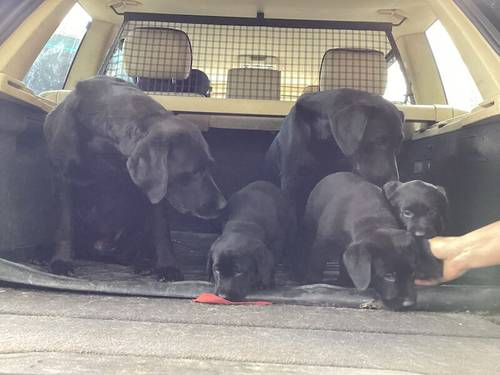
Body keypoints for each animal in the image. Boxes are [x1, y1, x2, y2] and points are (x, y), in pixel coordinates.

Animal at [43, 76, 227, 280]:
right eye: (194, 171)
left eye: (209, 165)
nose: (223, 205)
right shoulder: (62, 179)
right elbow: (64, 227)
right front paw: (61, 261)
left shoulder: (154, 192)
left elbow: (162, 231)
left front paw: (168, 266)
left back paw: (143, 263)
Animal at [298, 172, 440, 310]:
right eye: (388, 276)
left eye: (412, 273)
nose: (409, 304)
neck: (373, 221)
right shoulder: (321, 247)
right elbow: (315, 266)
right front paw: (311, 284)